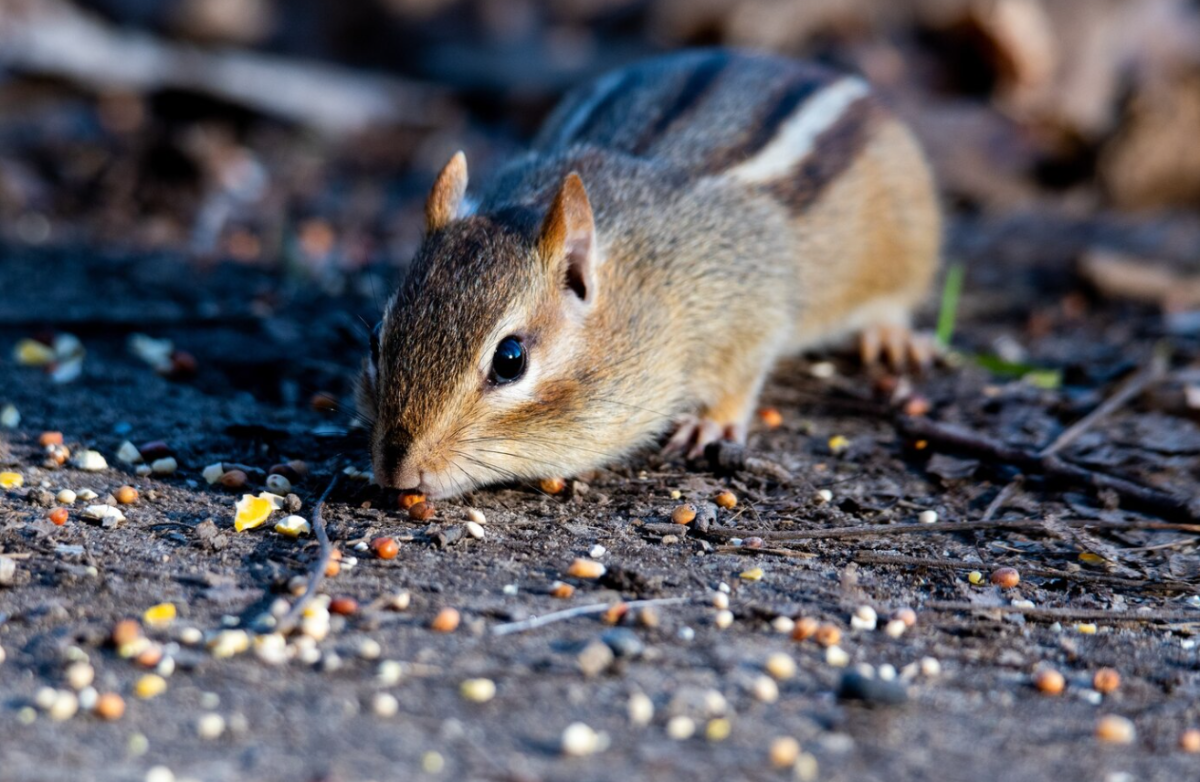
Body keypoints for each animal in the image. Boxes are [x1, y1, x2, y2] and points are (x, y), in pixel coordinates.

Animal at [359, 49, 941, 499]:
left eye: (510, 360)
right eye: (375, 339)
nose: (398, 473)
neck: (642, 279)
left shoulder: (750, 305)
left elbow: (741, 373)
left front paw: (709, 423)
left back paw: (889, 336)